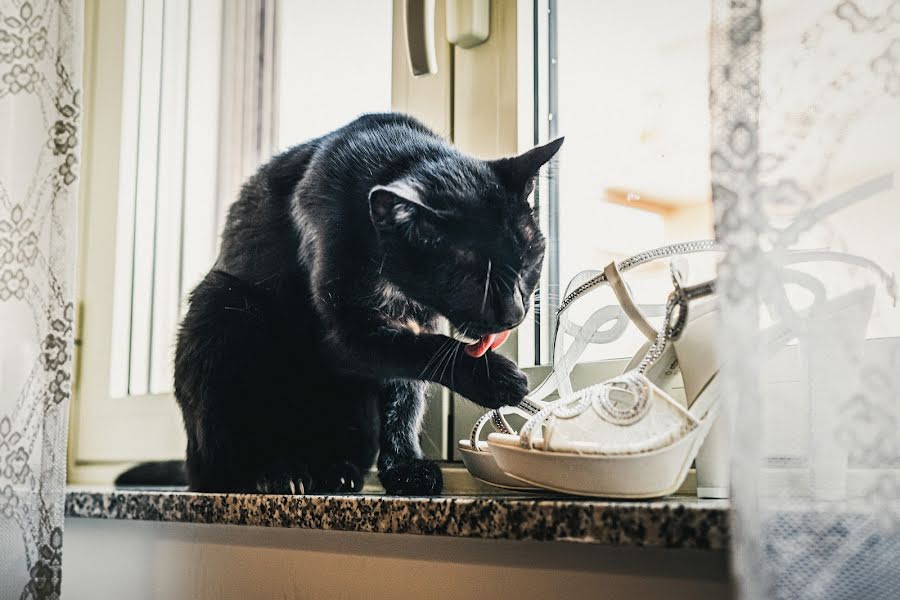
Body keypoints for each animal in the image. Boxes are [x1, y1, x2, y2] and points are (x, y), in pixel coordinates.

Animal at [115, 113, 560, 496]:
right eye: (473, 280)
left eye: (530, 262)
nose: (515, 314)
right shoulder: (344, 334)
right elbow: (426, 353)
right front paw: (496, 378)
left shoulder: (416, 323)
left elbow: (405, 397)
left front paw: (405, 470)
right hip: (219, 305)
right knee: (223, 466)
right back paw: (280, 473)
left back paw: (334, 472)